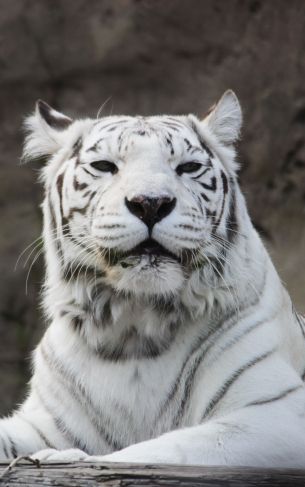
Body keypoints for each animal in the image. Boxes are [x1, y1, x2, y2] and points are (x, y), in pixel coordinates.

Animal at [0, 91, 304, 468]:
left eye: (187, 167)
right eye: (104, 166)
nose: (150, 203)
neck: (133, 326)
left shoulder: (275, 414)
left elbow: (160, 448)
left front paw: (61, 458)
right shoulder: (46, 419)